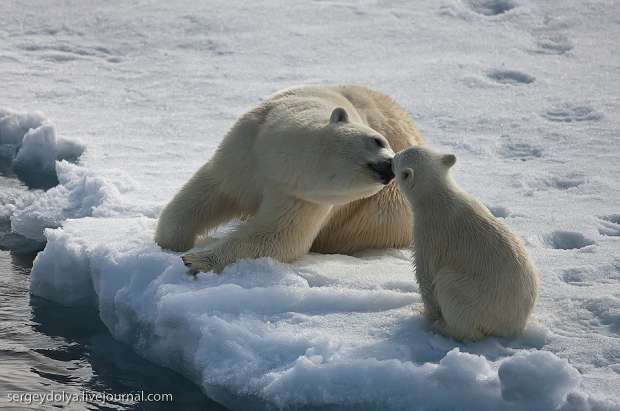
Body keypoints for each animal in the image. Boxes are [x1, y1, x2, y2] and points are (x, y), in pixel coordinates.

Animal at [157, 84, 424, 274]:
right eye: (377, 140)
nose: (390, 167)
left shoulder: (302, 198)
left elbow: (278, 236)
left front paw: (196, 259)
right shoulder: (247, 150)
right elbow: (212, 191)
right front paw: (169, 244)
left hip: (386, 211)